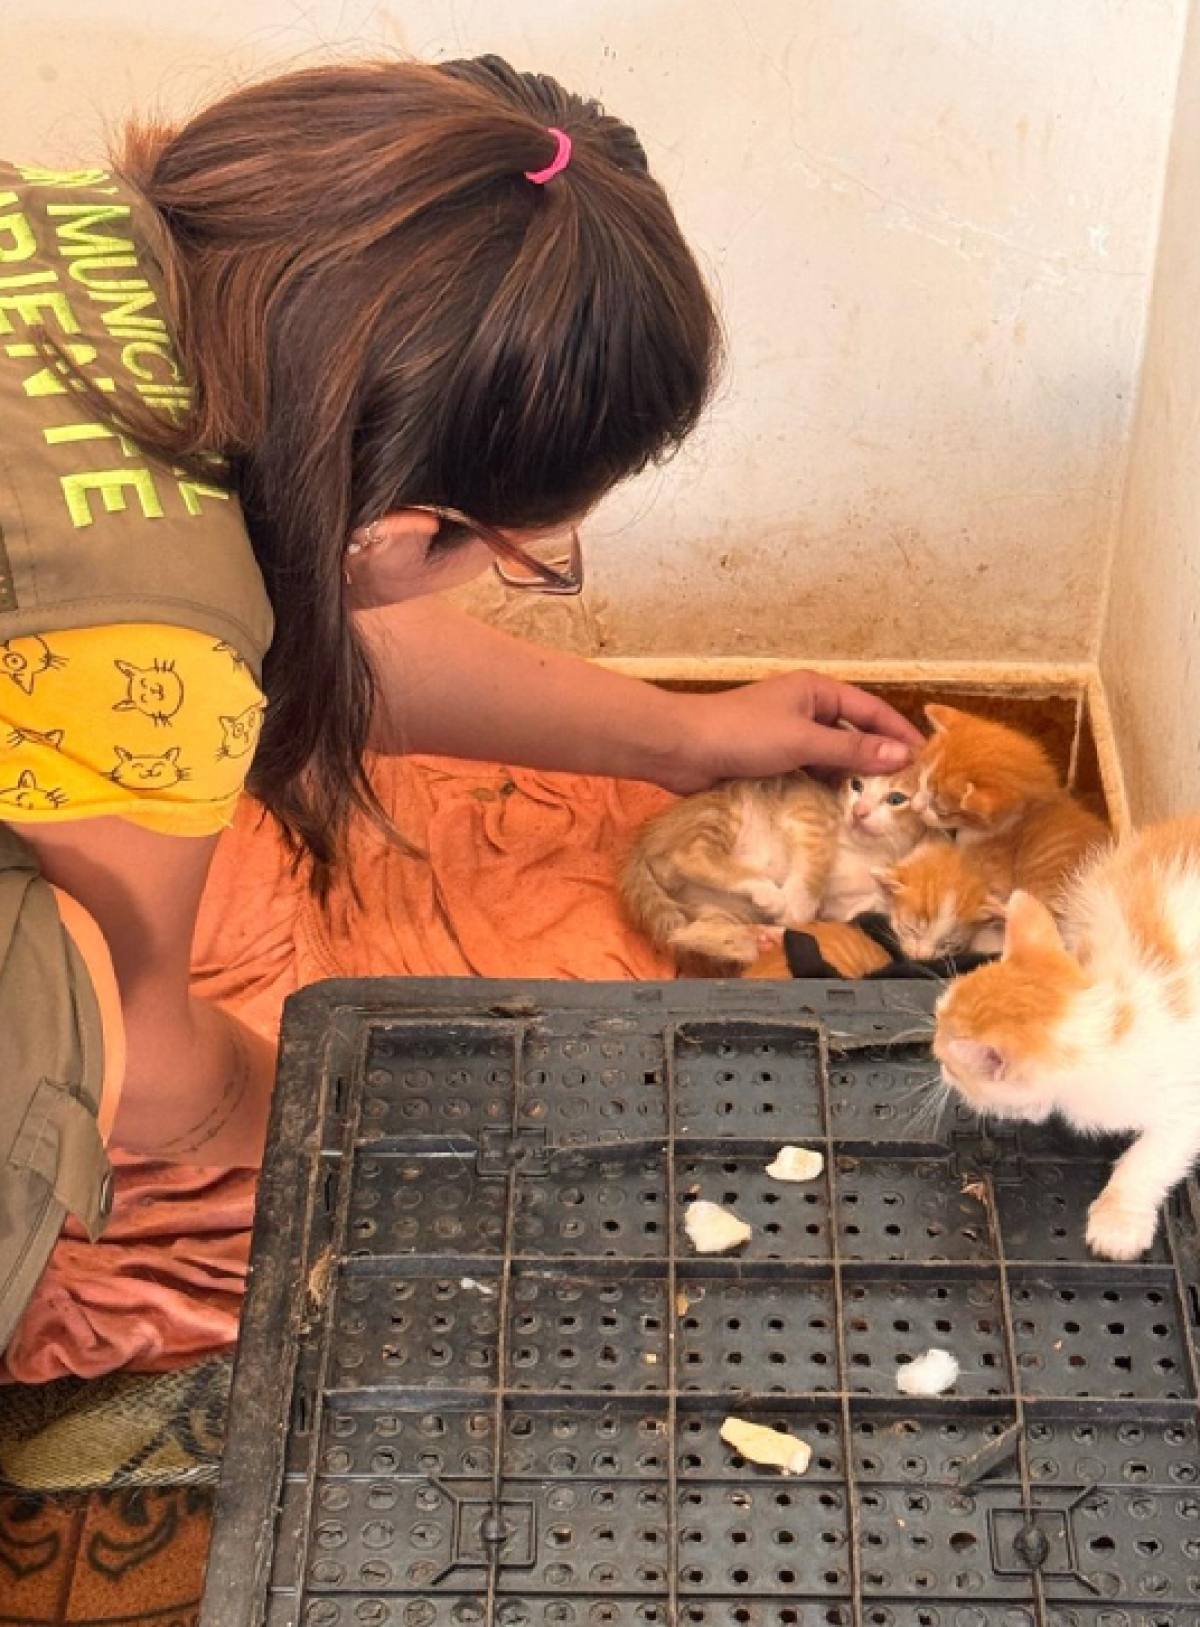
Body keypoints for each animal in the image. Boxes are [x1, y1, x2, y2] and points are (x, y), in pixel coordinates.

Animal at [930, 820, 1196, 1262]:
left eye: (949, 1063)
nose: (933, 1055)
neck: (1107, 1027)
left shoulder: (1187, 1104)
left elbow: (1153, 1157)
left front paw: (1118, 1222)